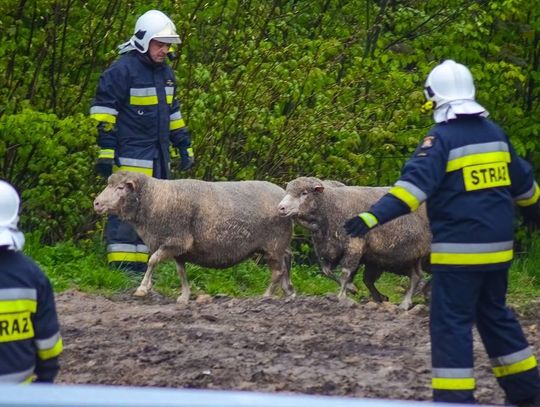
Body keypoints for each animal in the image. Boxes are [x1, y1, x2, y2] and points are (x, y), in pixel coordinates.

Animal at [94, 171, 294, 302]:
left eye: (120, 187)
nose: (96, 203)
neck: (156, 199)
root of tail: (284, 195)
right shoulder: (179, 250)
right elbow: (181, 272)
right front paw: (184, 296)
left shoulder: (177, 241)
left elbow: (152, 261)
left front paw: (143, 288)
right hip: (277, 244)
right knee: (287, 258)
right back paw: (289, 290)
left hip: (274, 243)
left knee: (277, 271)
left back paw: (266, 296)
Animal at [278, 177, 430, 310]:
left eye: (304, 193)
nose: (281, 208)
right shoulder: (327, 249)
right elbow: (327, 272)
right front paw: (352, 288)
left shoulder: (354, 246)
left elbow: (345, 273)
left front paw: (342, 296)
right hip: (393, 259)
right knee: (413, 276)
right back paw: (384, 298)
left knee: (416, 277)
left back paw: (406, 302)